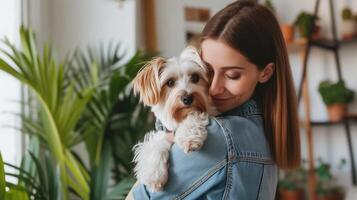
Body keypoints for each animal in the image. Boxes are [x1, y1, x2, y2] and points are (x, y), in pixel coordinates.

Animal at [131, 46, 217, 191]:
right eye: (170, 82)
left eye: (195, 77)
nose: (187, 98)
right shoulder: (163, 133)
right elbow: (155, 144)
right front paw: (154, 174)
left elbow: (194, 115)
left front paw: (189, 138)